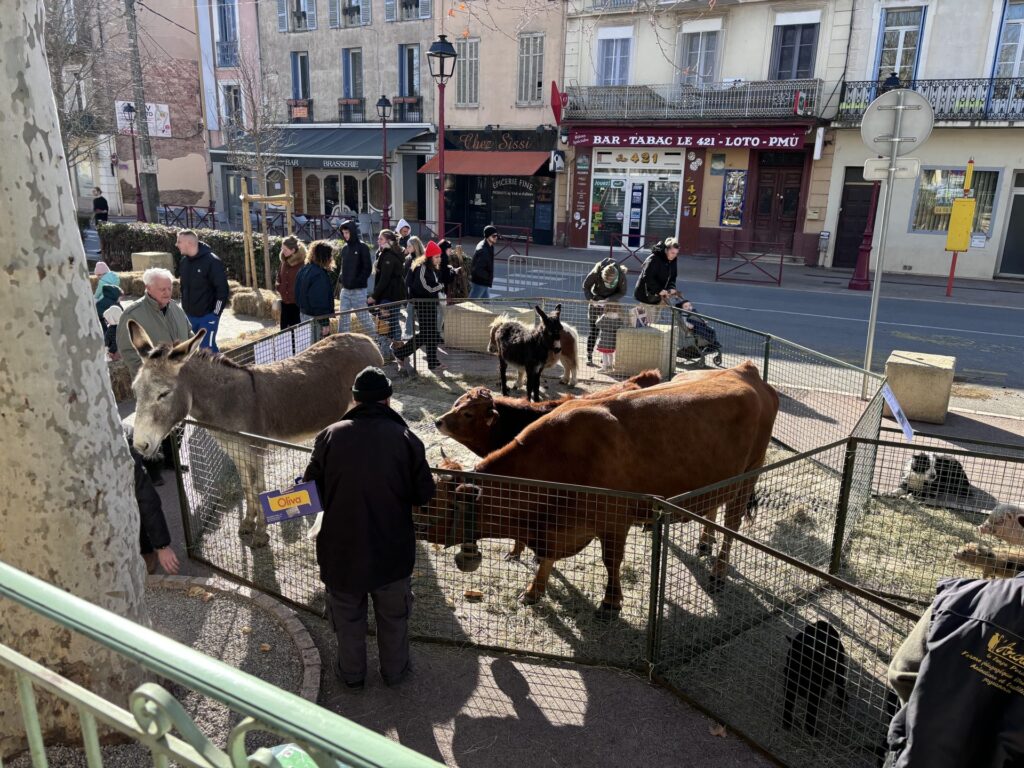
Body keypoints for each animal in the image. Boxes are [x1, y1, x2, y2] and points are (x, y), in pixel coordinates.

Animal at [419, 364, 778, 622]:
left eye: (428, 506)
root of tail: (744, 369)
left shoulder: (614, 520)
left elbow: (611, 561)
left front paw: (610, 602)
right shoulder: (555, 527)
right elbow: (546, 559)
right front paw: (534, 590)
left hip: (749, 475)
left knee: (731, 524)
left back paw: (718, 571)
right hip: (719, 479)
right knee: (713, 508)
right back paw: (704, 541)